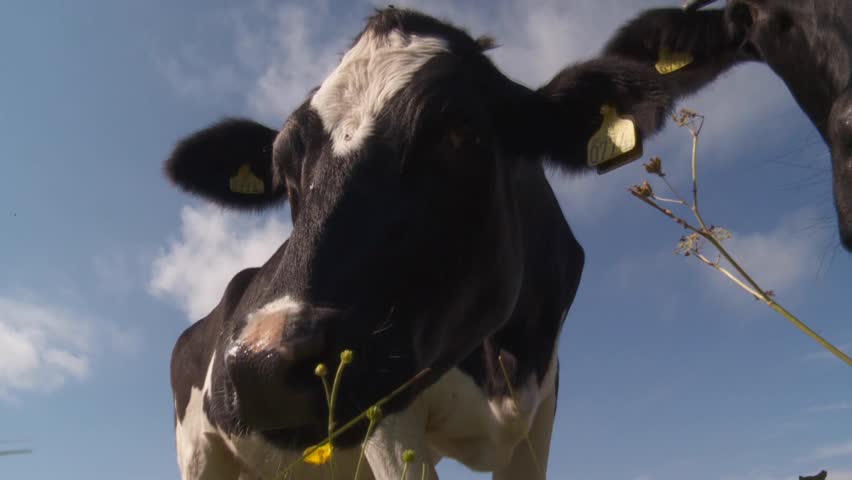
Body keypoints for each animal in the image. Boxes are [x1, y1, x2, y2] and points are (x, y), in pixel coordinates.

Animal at [166, 7, 718, 480]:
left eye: (459, 132)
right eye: (284, 171)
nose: (262, 365)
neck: (503, 361)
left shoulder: (541, 407)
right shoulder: (388, 417)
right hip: (201, 452)